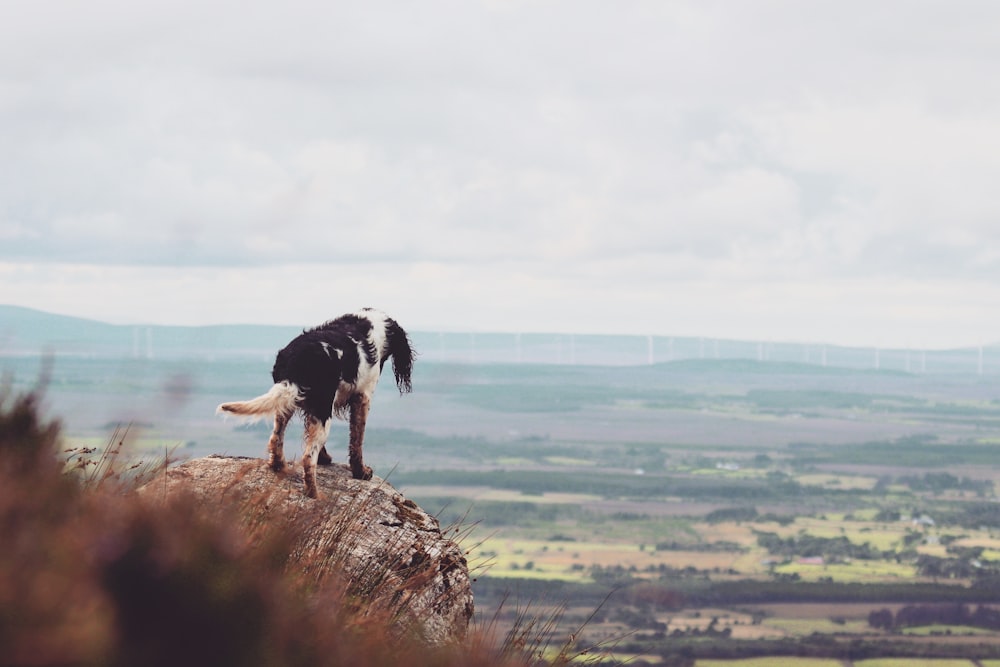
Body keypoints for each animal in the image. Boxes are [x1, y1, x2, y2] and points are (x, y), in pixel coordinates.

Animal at [218, 310, 414, 498]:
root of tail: (296, 360)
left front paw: (326, 459)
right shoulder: (362, 398)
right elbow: (357, 441)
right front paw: (361, 472)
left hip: (291, 403)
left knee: (275, 438)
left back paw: (278, 465)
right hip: (323, 410)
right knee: (307, 457)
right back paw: (313, 494)